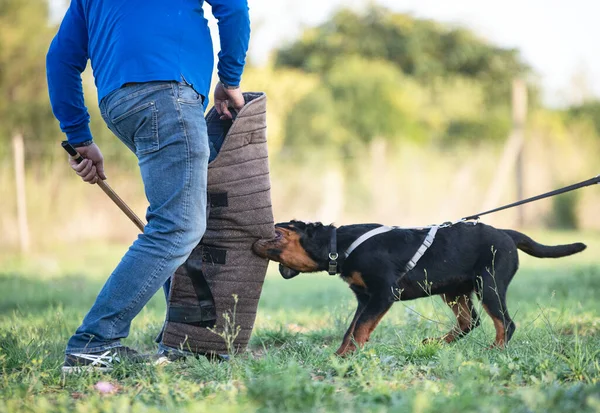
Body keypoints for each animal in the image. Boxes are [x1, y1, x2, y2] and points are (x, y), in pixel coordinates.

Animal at [253, 220, 584, 356]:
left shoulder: (382, 293)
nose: (253, 238)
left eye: (278, 224)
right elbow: (352, 328)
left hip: (488, 283)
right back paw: (437, 343)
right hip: (455, 290)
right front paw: (339, 354)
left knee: (505, 322)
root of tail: (507, 233)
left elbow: (360, 328)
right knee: (470, 321)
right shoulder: (365, 297)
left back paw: (495, 350)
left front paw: (348, 356)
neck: (338, 246)